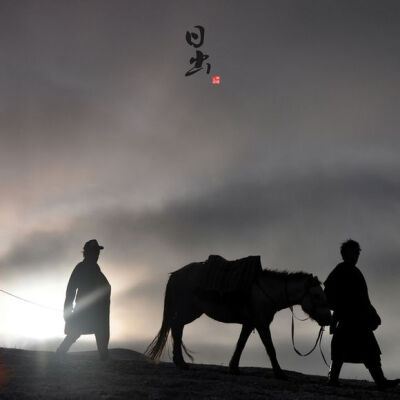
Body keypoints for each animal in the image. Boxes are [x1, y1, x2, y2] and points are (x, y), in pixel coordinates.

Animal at [145, 260, 332, 380]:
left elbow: (240, 344)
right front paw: (280, 374)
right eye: (316, 295)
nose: (329, 319)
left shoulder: (249, 324)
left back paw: (180, 362)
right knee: (177, 327)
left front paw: (233, 367)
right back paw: (181, 363)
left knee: (177, 328)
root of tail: (176, 274)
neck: (266, 291)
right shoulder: (262, 324)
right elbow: (270, 348)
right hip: (190, 310)